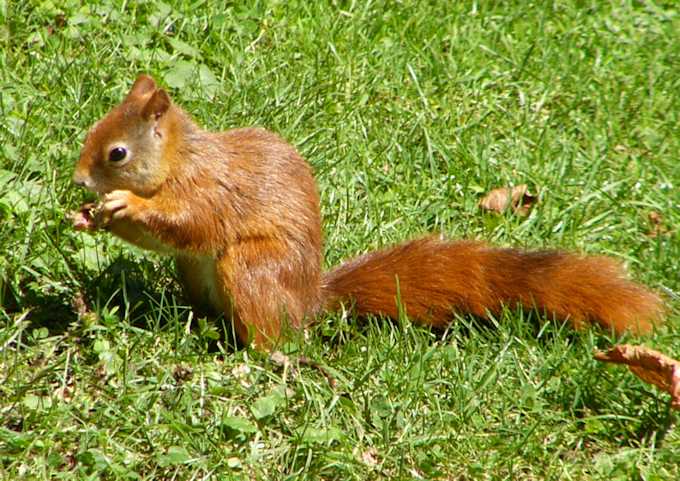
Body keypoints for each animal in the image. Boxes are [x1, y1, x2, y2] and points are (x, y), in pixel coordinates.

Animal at [71, 75, 660, 346]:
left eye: (117, 153)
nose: (77, 181)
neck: (178, 162)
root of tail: (308, 301)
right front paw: (87, 215)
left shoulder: (208, 191)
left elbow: (187, 223)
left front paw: (121, 203)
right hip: (196, 274)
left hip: (253, 268)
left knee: (273, 333)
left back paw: (268, 353)